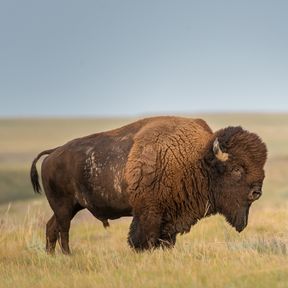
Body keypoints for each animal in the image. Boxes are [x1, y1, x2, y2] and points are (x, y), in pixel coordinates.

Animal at [29, 116, 268, 253]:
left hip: (71, 207)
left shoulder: (170, 217)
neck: (196, 159)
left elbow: (166, 241)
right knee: (63, 230)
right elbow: (144, 239)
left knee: (52, 227)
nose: (257, 192)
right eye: (237, 169)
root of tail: (53, 153)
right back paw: (66, 255)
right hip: (64, 206)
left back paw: (53, 257)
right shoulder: (149, 214)